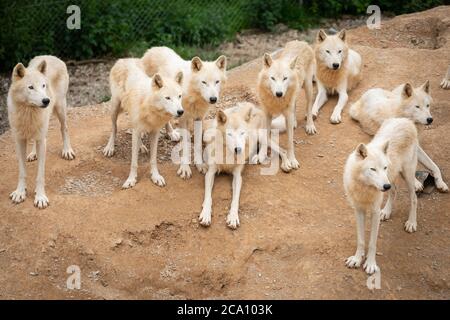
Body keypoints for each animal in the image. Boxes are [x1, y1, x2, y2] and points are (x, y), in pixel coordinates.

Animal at [7, 54, 76, 209]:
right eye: (31, 87)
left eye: (44, 86)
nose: (46, 100)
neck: (28, 112)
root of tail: (51, 56)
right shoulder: (19, 140)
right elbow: (22, 171)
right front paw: (20, 192)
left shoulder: (42, 139)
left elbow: (40, 175)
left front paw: (40, 197)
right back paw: (33, 154)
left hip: (60, 108)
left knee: (65, 128)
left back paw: (67, 151)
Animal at [103, 58, 185, 188]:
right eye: (167, 98)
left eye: (179, 96)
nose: (180, 112)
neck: (149, 106)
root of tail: (123, 59)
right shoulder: (136, 129)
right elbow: (134, 162)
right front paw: (131, 179)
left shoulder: (155, 132)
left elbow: (153, 159)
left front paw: (155, 176)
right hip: (115, 107)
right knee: (114, 128)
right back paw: (110, 147)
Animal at [142, 46, 227, 179]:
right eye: (204, 82)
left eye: (217, 81)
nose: (213, 99)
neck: (194, 95)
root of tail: (152, 49)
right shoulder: (183, 118)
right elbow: (186, 145)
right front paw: (185, 168)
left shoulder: (199, 118)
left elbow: (197, 143)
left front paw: (200, 165)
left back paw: (172, 134)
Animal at [256, 41, 316, 174]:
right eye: (272, 78)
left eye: (285, 78)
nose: (279, 93)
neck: (276, 101)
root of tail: (301, 42)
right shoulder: (267, 115)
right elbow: (265, 136)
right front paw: (262, 155)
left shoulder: (286, 116)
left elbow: (289, 142)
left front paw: (292, 160)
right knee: (295, 106)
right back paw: (295, 122)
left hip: (308, 87)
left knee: (309, 107)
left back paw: (310, 126)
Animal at [344, 119, 418, 274]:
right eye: (373, 169)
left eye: (384, 167)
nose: (385, 186)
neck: (365, 187)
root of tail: (405, 120)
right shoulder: (358, 210)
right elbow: (361, 240)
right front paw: (357, 259)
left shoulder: (375, 212)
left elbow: (372, 242)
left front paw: (371, 264)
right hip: (393, 177)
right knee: (394, 191)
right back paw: (387, 212)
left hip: (406, 175)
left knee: (414, 198)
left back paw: (411, 223)